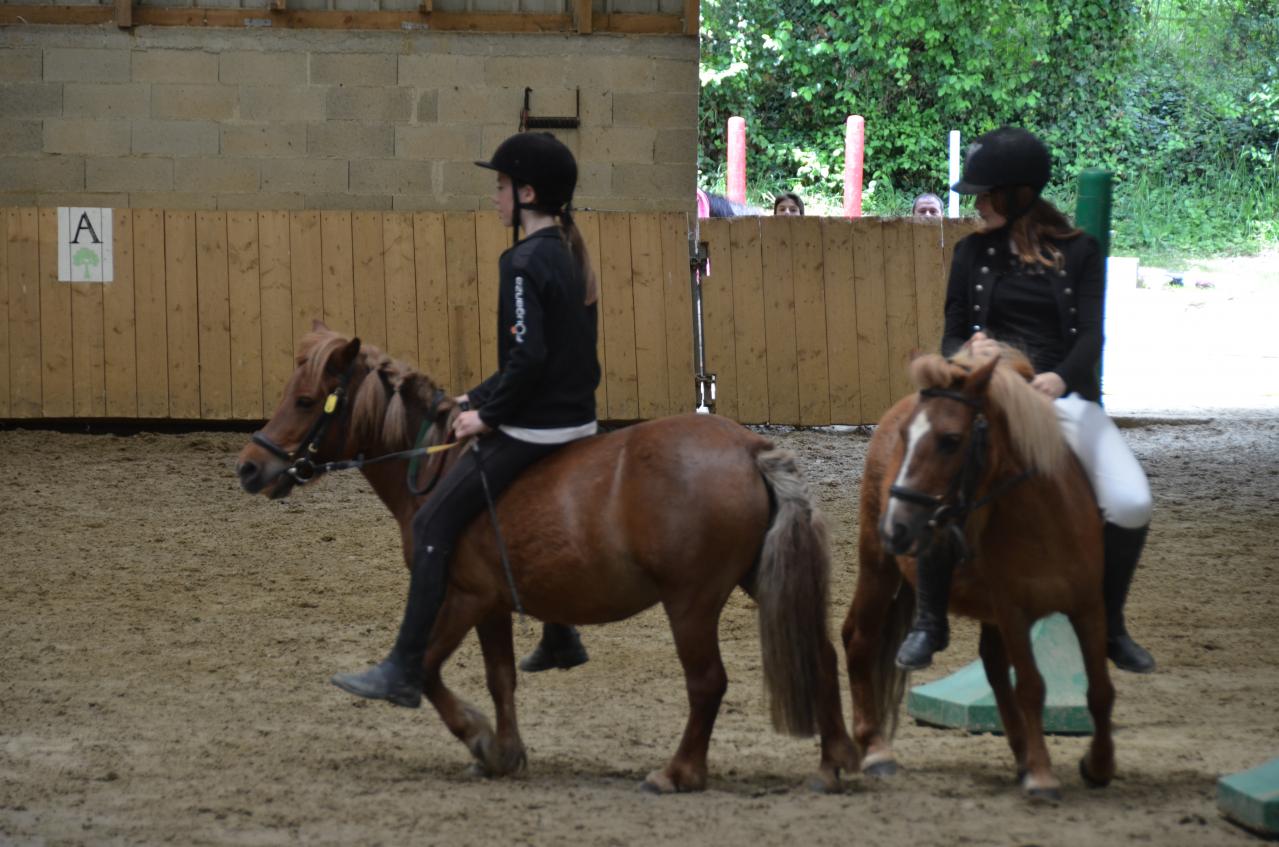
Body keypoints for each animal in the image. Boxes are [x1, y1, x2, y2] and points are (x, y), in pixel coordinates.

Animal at [240, 324, 859, 798]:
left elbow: (427, 667)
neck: (435, 466)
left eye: (304, 402)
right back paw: (833, 763)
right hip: (754, 579)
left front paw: (476, 736)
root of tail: (750, 448)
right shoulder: (490, 603)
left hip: (692, 600)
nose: (249, 468)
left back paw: (679, 772)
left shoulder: (463, 595)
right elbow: (500, 677)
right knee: (819, 654)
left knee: (707, 682)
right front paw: (504, 749)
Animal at [844, 348, 1115, 803]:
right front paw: (1043, 777)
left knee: (992, 663)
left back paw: (1022, 755)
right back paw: (876, 750)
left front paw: (1099, 765)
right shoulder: (1013, 612)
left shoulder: (1089, 608)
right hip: (877, 564)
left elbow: (1099, 689)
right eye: (907, 437)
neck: (1046, 522)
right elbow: (1031, 687)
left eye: (952, 440)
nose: (896, 528)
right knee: (859, 637)